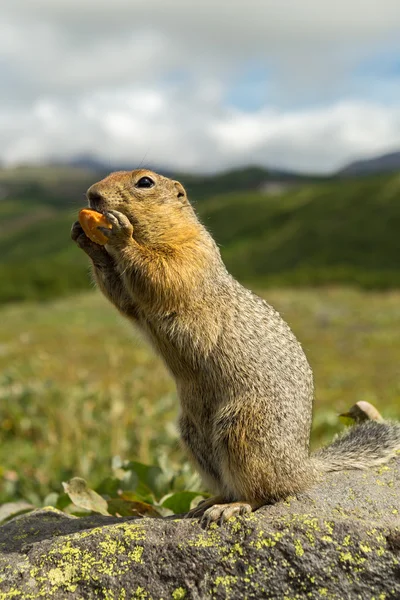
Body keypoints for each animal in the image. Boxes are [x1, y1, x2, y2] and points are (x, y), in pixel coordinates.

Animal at [71, 169, 400, 524]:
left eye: (145, 182)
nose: (91, 194)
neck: (159, 233)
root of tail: (305, 468)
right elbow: (123, 296)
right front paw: (86, 240)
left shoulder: (192, 253)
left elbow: (160, 273)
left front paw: (119, 234)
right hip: (193, 435)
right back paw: (207, 502)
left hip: (245, 429)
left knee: (265, 492)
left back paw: (231, 507)